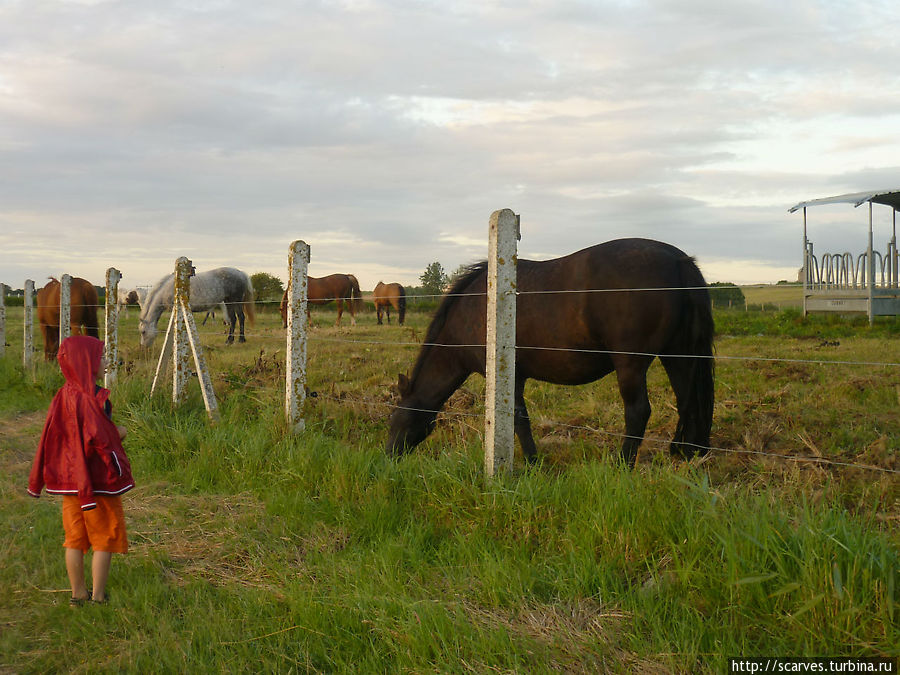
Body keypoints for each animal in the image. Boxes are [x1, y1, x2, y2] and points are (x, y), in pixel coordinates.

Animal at [386, 239, 716, 470]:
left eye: (395, 419)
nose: (387, 456)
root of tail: (678, 260)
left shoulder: (510, 377)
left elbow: (519, 420)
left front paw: (533, 463)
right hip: (678, 356)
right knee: (687, 403)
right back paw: (686, 453)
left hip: (631, 365)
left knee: (638, 412)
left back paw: (622, 466)